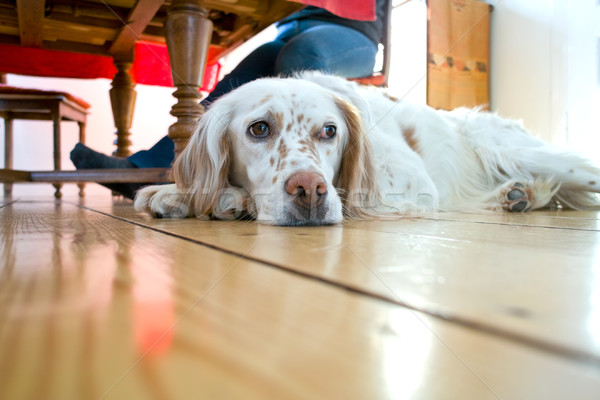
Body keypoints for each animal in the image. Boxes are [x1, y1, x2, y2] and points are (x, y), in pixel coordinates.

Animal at [135, 71, 600, 225]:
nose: (310, 191)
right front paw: (176, 193)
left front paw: (226, 198)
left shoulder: (412, 182)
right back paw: (520, 194)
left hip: (520, 152)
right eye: (259, 128)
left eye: (329, 131)